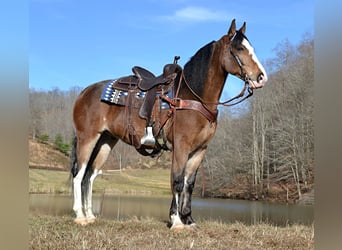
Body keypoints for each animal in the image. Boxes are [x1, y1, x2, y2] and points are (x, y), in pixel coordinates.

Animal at [69, 19, 268, 229]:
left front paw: (188, 219)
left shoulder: (200, 149)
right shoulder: (181, 145)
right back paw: (80, 216)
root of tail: (84, 92)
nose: (261, 77)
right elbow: (177, 180)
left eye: (251, 48)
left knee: (90, 175)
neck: (194, 97)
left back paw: (90, 215)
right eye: (239, 48)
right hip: (87, 138)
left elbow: (189, 183)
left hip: (106, 141)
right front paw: (176, 220)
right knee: (78, 174)